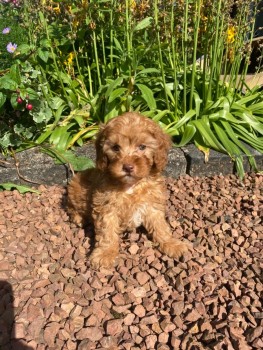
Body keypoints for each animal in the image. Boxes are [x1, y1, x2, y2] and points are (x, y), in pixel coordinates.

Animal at [67, 112, 189, 268]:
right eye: (115, 147)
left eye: (142, 147)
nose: (128, 167)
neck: (131, 185)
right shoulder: (106, 207)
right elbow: (107, 232)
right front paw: (105, 253)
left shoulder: (152, 203)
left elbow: (160, 226)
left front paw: (171, 243)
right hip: (74, 188)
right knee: (71, 207)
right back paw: (79, 218)